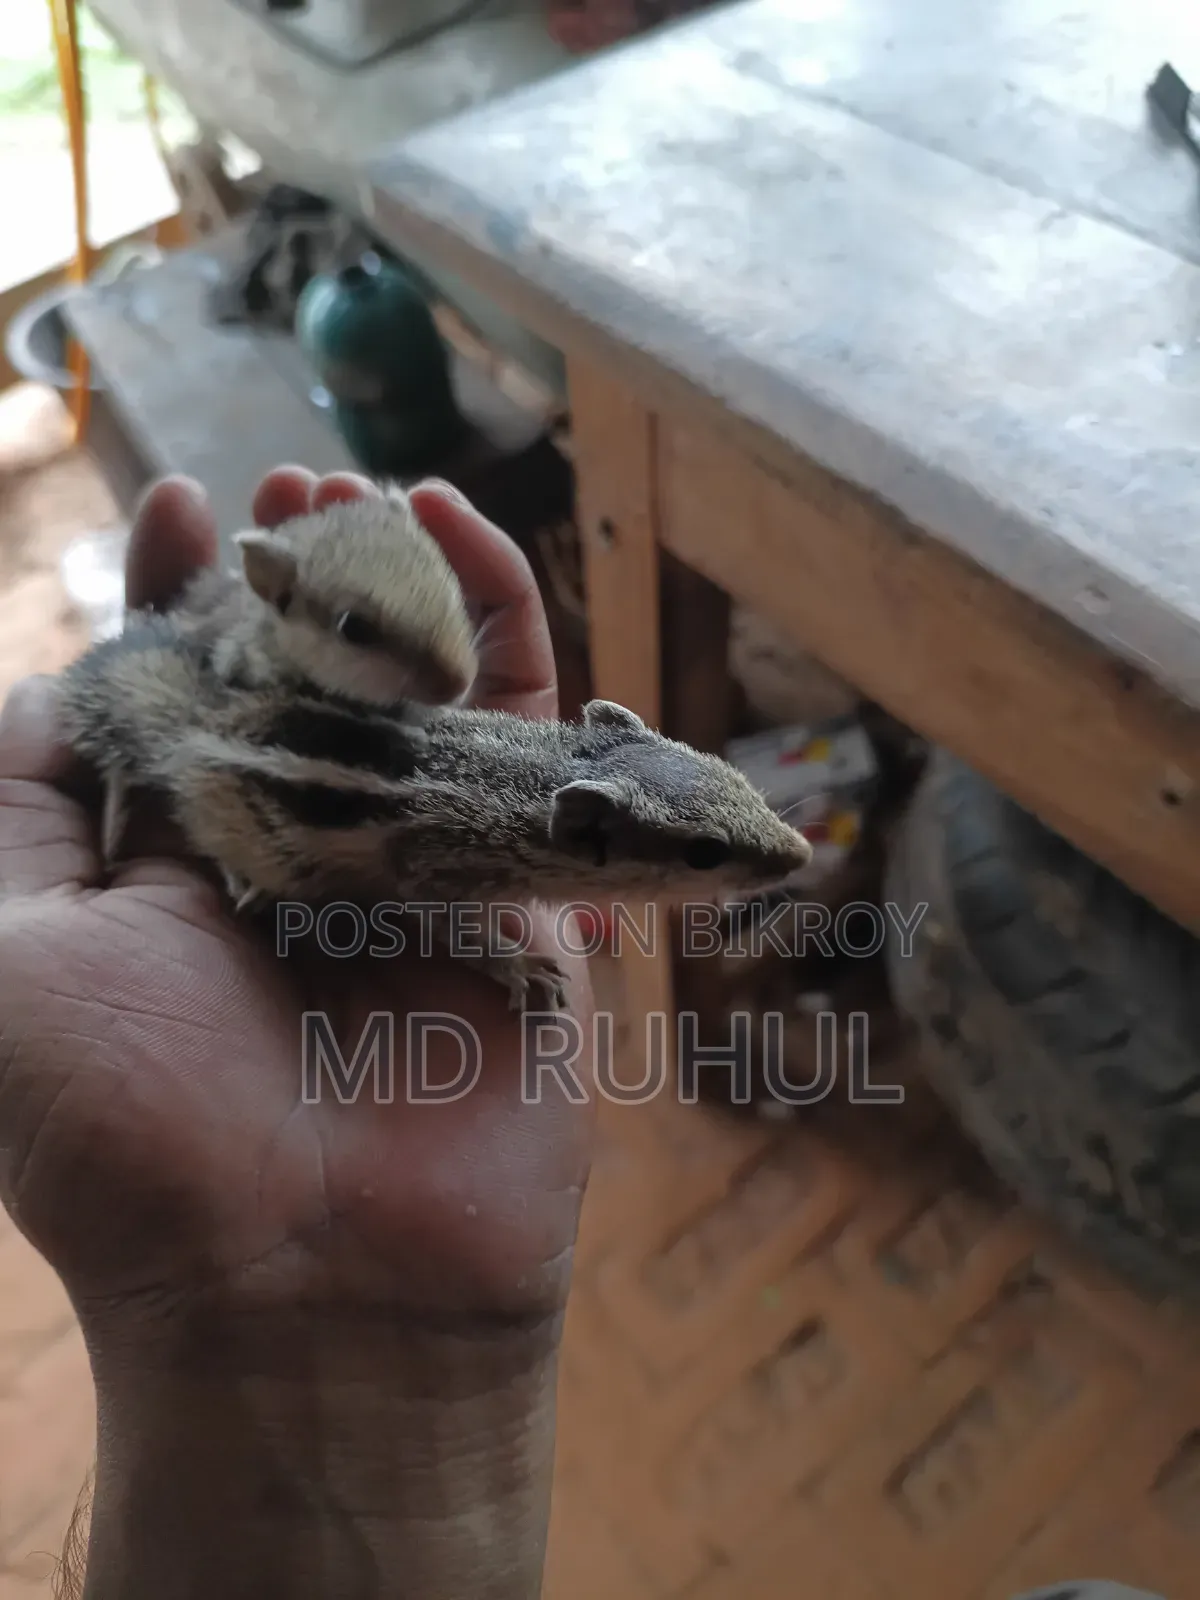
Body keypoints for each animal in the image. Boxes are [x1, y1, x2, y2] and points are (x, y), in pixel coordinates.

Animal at [58, 632, 812, 1012]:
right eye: (706, 852)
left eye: (732, 775)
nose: (801, 856)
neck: (532, 773)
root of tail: (193, 725)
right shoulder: (434, 876)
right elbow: (455, 934)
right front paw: (523, 970)